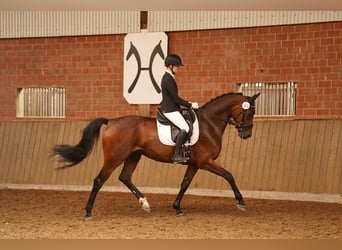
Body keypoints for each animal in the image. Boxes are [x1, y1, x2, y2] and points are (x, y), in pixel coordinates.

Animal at [52, 92, 260, 219]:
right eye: (249, 112)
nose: (247, 135)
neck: (209, 123)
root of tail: (111, 121)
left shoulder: (194, 163)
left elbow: (185, 184)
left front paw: (177, 208)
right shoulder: (205, 161)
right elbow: (229, 175)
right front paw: (241, 202)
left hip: (134, 156)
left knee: (125, 177)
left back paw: (144, 203)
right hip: (114, 158)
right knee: (98, 180)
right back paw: (88, 212)